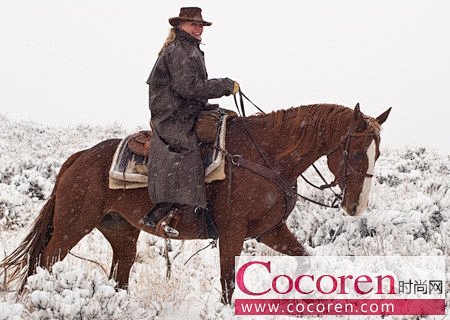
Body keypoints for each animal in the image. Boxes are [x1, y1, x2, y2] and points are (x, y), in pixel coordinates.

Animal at [0, 102, 390, 302]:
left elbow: (304, 261)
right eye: (357, 154)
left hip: (121, 232)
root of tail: (78, 157)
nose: (356, 207)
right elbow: (228, 286)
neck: (265, 157)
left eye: (378, 153)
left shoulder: (269, 230)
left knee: (119, 276)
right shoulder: (232, 234)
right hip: (71, 226)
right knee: (42, 265)